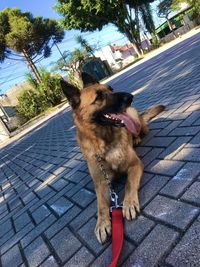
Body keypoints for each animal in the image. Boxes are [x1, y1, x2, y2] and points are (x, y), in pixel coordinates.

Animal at [60, 73, 164, 245]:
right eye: (99, 97)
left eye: (111, 89)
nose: (130, 97)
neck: (105, 142)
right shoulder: (101, 182)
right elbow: (101, 205)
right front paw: (102, 223)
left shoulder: (135, 165)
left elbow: (129, 184)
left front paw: (129, 203)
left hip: (136, 121)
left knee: (142, 130)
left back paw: (136, 139)